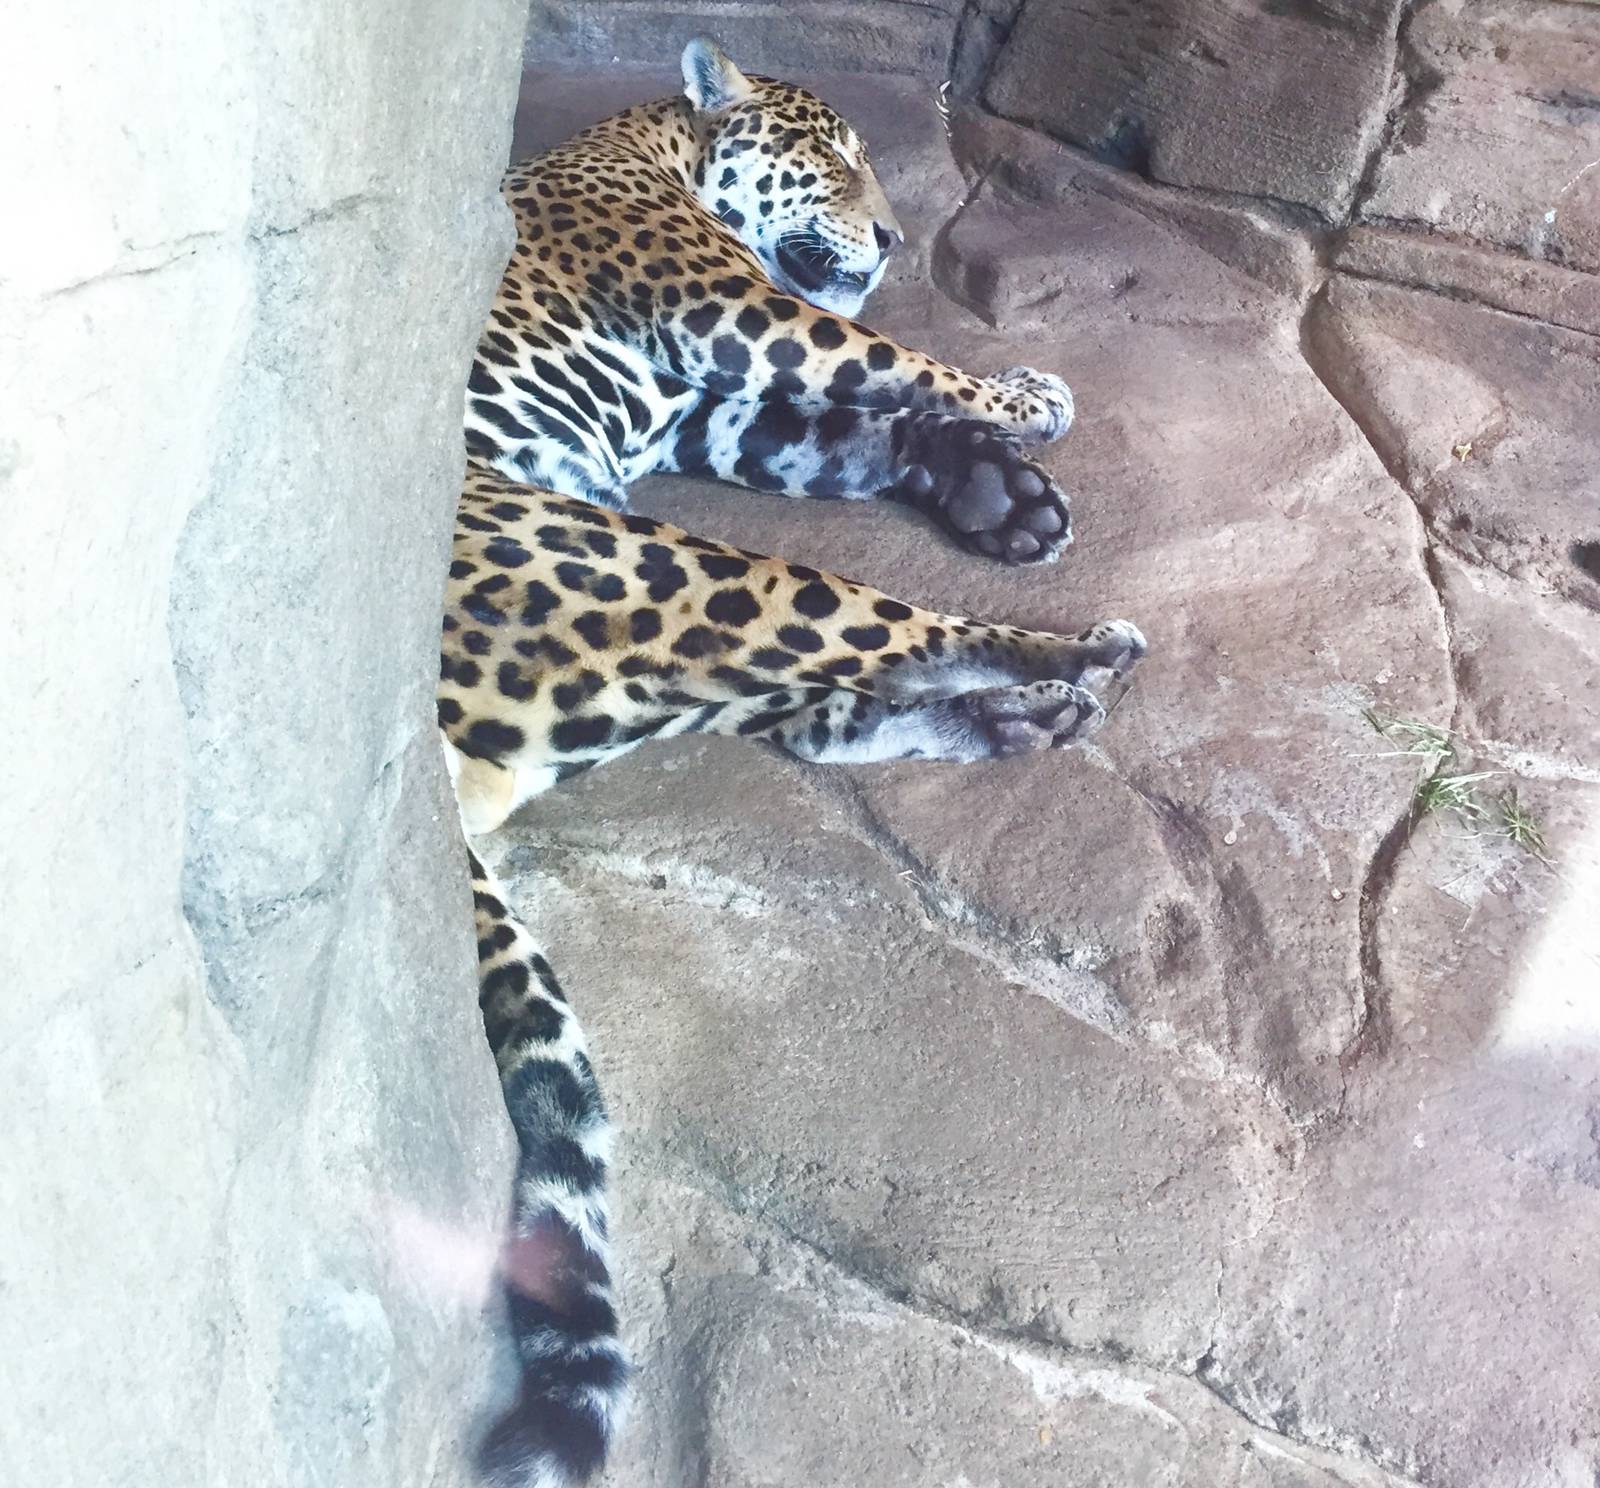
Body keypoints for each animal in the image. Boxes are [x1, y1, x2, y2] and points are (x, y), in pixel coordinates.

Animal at [444, 39, 1147, 1487]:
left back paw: (1023, 717)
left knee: (817, 698)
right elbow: (896, 359)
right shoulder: (739, 316)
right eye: (832, 156)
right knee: (878, 633)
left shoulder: (720, 418)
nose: (889, 238)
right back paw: (1077, 659)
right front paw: (1027, 404)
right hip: (638, 561)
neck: (651, 143)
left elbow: (858, 430)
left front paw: (997, 488)